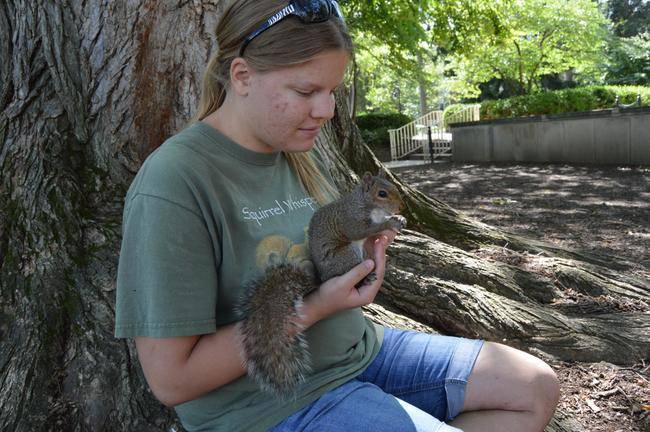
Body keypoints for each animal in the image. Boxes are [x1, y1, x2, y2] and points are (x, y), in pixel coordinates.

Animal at [235, 171, 402, 398]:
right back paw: (365, 278)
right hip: (347, 255)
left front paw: (398, 219)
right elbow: (361, 230)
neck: (365, 204)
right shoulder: (350, 219)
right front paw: (390, 222)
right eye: (382, 193)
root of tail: (323, 277)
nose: (401, 208)